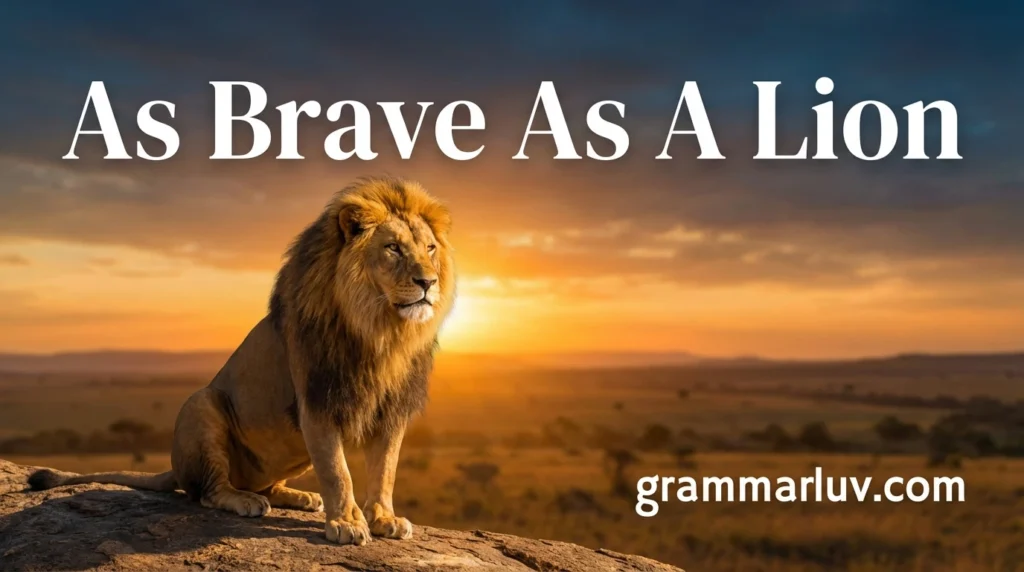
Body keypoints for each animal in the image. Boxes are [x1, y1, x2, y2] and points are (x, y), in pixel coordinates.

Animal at [28, 176, 455, 545]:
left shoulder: (392, 409)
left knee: (267, 484)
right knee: (208, 492)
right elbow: (338, 471)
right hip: (201, 404)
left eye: (430, 249)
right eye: (393, 248)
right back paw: (245, 500)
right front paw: (348, 523)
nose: (428, 282)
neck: (381, 330)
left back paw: (300, 497)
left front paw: (384, 518)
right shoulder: (317, 400)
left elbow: (386, 469)